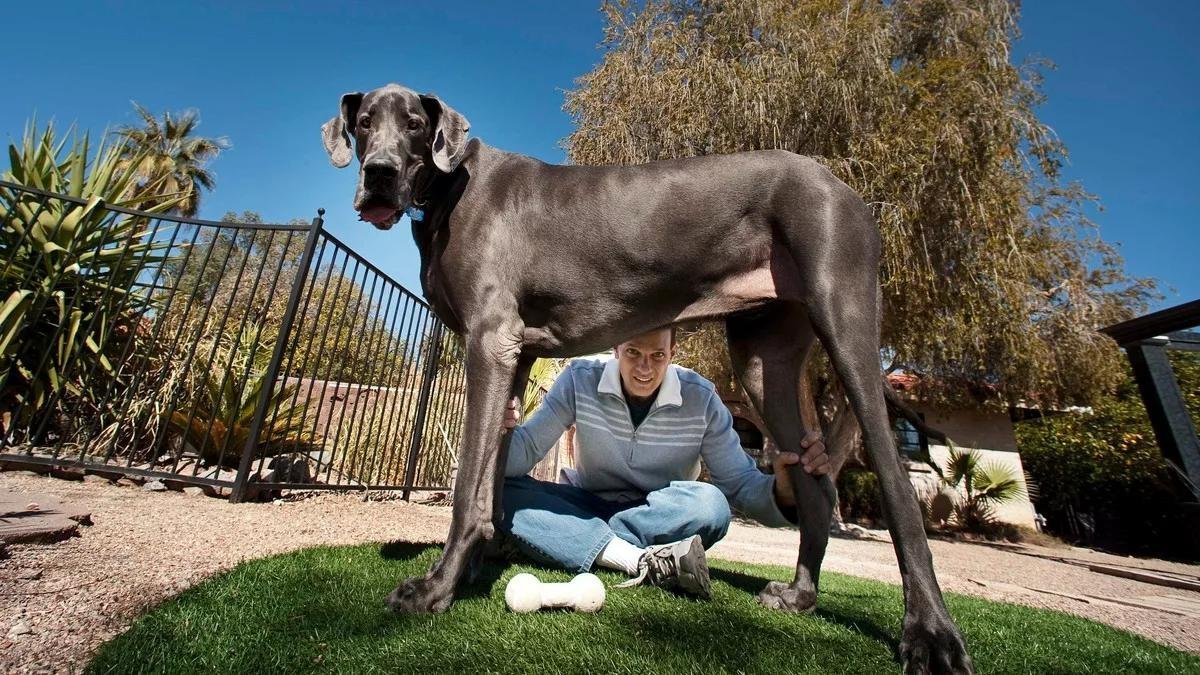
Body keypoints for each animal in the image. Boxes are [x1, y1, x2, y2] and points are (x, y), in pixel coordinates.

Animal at [321, 84, 974, 672]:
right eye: (364, 124)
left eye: (413, 125)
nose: (378, 174)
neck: (450, 188)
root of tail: (843, 186)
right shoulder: (515, 356)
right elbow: (493, 481)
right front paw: (475, 569)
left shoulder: (489, 340)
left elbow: (466, 491)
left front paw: (436, 590)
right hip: (763, 359)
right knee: (814, 487)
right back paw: (800, 596)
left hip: (845, 317)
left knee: (895, 483)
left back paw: (931, 634)